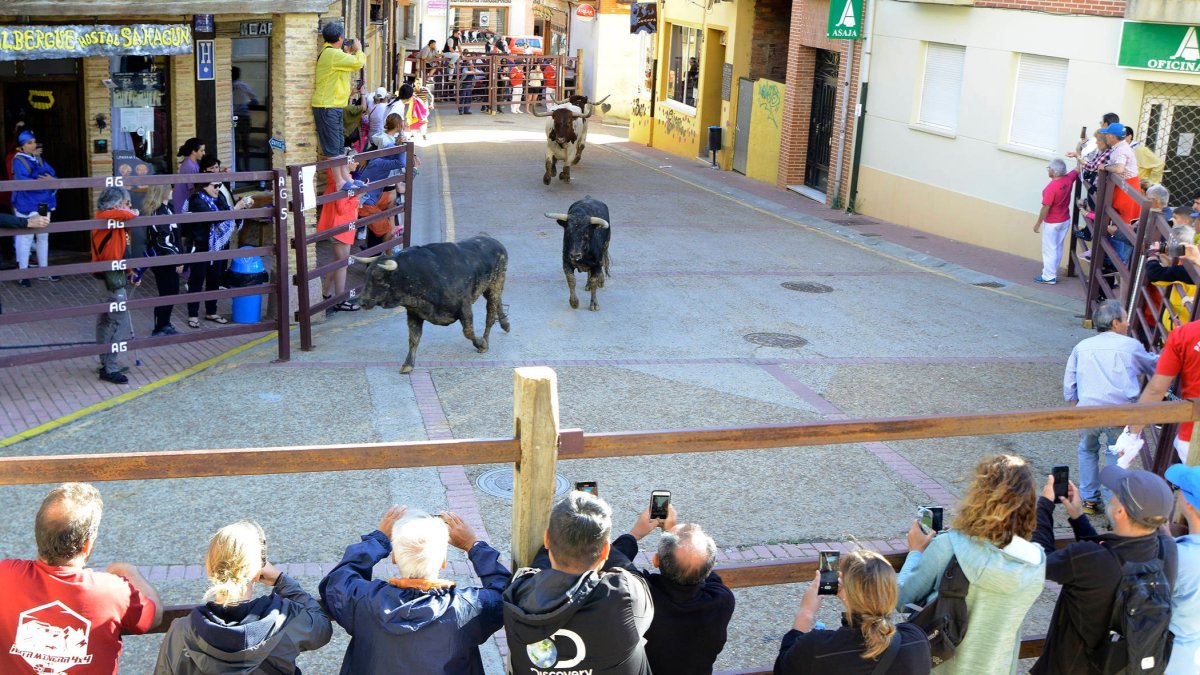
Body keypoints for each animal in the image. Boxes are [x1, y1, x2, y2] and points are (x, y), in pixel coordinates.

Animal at [350, 235, 511, 372]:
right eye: (366, 276)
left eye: (379, 278)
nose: (362, 302)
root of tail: (496, 242)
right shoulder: (414, 313)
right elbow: (413, 338)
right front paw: (408, 364)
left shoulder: (464, 307)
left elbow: (468, 331)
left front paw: (481, 344)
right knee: (498, 303)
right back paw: (506, 324)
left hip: (496, 284)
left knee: (490, 315)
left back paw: (486, 340)